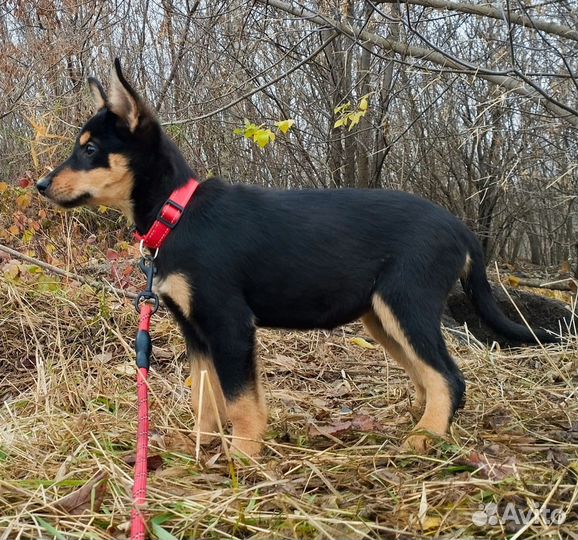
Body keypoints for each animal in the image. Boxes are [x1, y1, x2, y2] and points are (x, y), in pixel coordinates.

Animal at [35, 60, 552, 456]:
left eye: (90, 149)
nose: (41, 185)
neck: (176, 211)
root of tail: (461, 229)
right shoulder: (195, 331)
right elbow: (205, 398)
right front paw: (200, 448)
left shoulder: (229, 323)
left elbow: (241, 401)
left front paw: (243, 457)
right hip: (381, 317)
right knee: (429, 376)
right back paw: (417, 422)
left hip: (406, 304)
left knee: (448, 376)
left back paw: (425, 438)